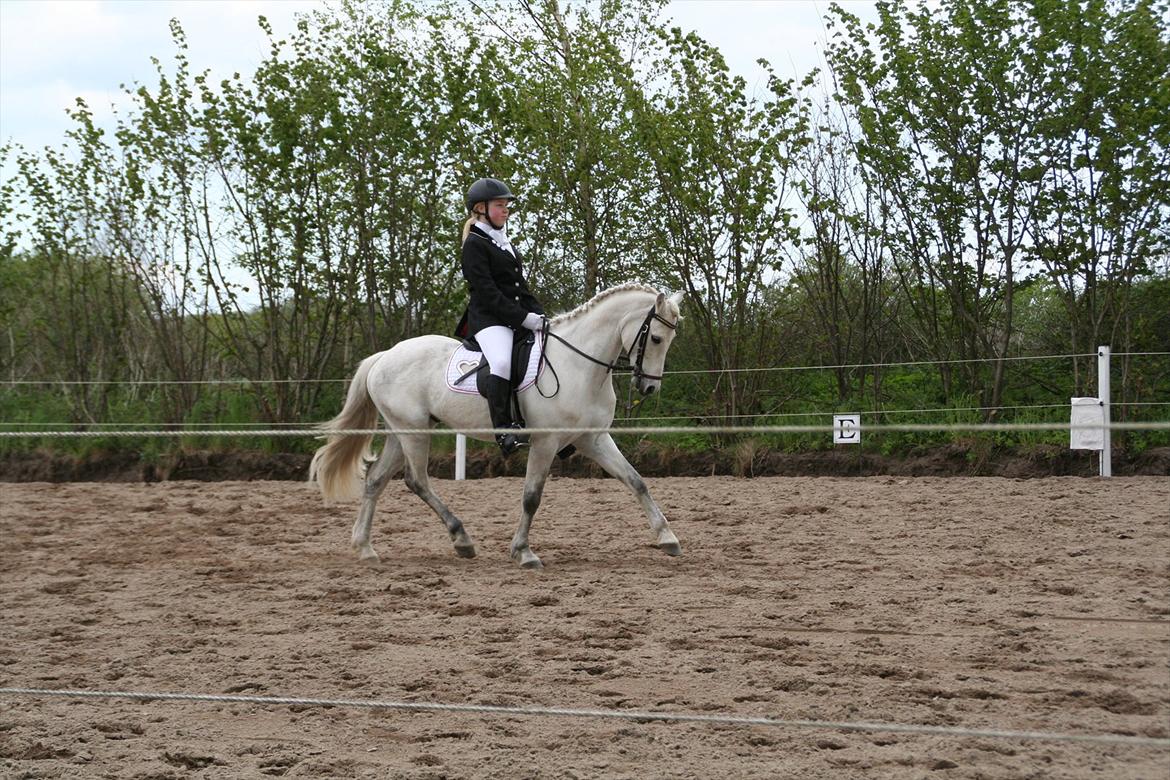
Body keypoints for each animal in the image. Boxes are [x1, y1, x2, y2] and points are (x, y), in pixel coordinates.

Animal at [309, 282, 685, 569]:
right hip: (415, 432)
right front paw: (524, 552)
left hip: (401, 432)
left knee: (376, 480)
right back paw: (461, 539)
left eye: (669, 340)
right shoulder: (545, 443)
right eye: (655, 339)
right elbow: (531, 498)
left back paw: (365, 548)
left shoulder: (593, 439)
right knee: (417, 481)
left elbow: (636, 481)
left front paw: (668, 538)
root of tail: (384, 356)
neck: (578, 365)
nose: (649, 388)